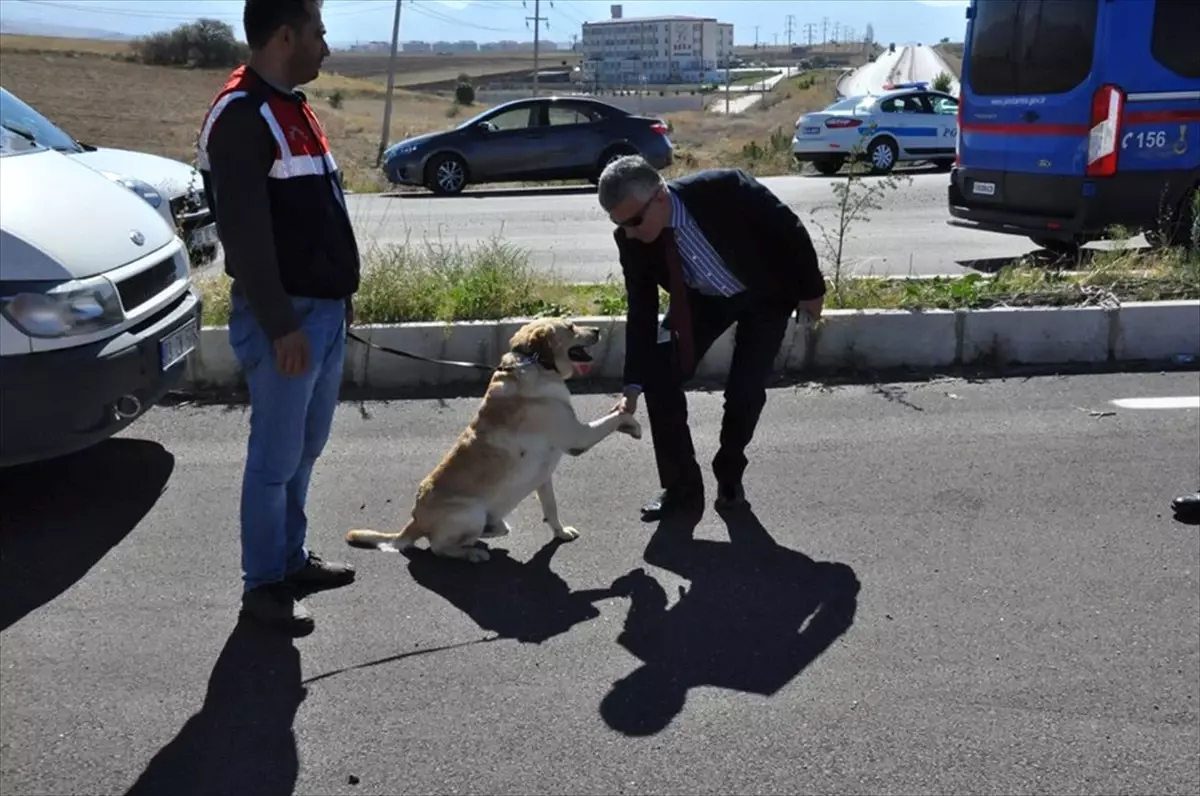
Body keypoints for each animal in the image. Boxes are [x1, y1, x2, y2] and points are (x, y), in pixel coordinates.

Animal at [343, 319, 643, 566]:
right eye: (570, 327)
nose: (597, 330)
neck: (533, 363)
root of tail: (413, 522)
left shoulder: (544, 477)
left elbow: (552, 508)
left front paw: (560, 532)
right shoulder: (578, 436)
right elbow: (615, 417)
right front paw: (633, 424)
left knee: (489, 531)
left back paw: (490, 532)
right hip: (471, 512)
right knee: (439, 548)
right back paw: (473, 553)